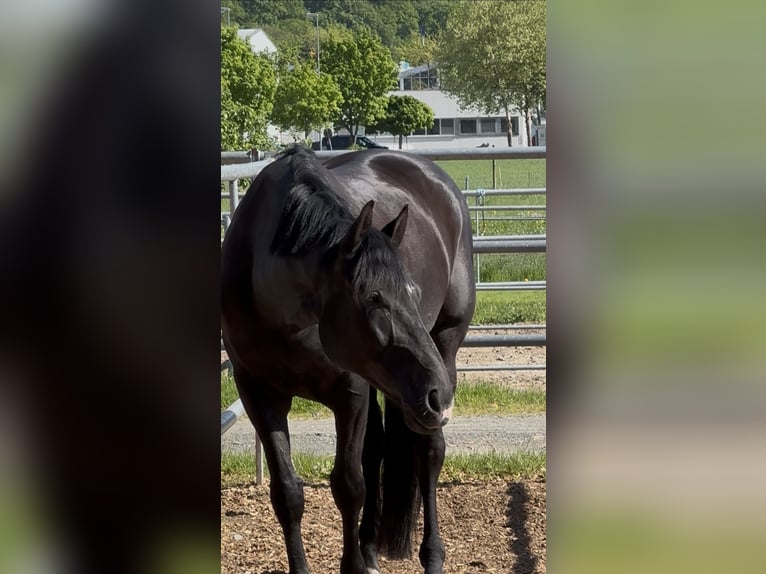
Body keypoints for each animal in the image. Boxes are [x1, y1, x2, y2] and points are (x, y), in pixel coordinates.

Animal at [221, 145, 475, 574]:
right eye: (373, 297)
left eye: (413, 291)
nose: (437, 396)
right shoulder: (258, 393)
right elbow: (288, 493)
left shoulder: (350, 393)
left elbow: (349, 485)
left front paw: (352, 565)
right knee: (376, 450)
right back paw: (370, 548)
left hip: (443, 348)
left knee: (428, 450)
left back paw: (431, 557)